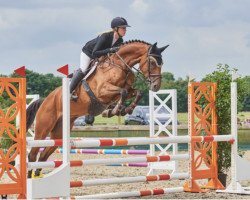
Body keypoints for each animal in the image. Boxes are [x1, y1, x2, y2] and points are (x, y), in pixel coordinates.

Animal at [26, 39, 169, 177]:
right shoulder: (102, 91)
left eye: (161, 63)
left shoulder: (127, 90)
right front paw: (113, 111)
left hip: (59, 132)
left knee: (43, 155)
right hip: (43, 128)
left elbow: (137, 92)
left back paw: (38, 175)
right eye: (152, 62)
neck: (119, 65)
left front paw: (125, 109)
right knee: (33, 153)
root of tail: (45, 100)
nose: (156, 86)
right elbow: (122, 92)